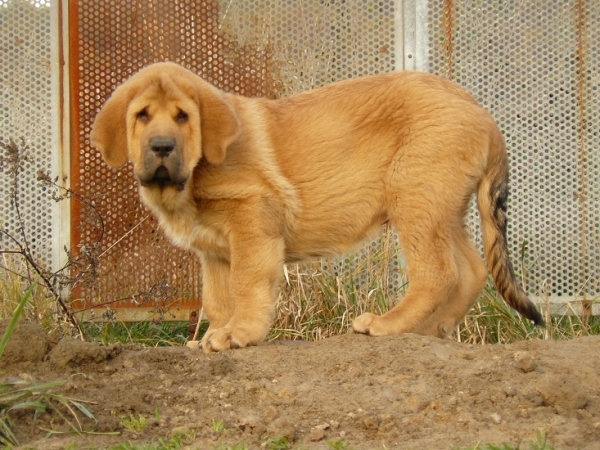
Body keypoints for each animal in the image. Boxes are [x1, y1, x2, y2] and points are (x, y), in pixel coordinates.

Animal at [90, 61, 544, 354]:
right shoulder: (214, 251)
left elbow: (246, 285)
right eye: (141, 115)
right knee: (472, 270)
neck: (193, 177)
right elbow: (217, 300)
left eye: (183, 116)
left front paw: (239, 334)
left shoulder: (254, 220)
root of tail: (482, 112)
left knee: (438, 273)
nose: (161, 147)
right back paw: (429, 330)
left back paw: (387, 325)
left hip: (417, 200)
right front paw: (213, 334)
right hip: (442, 208)